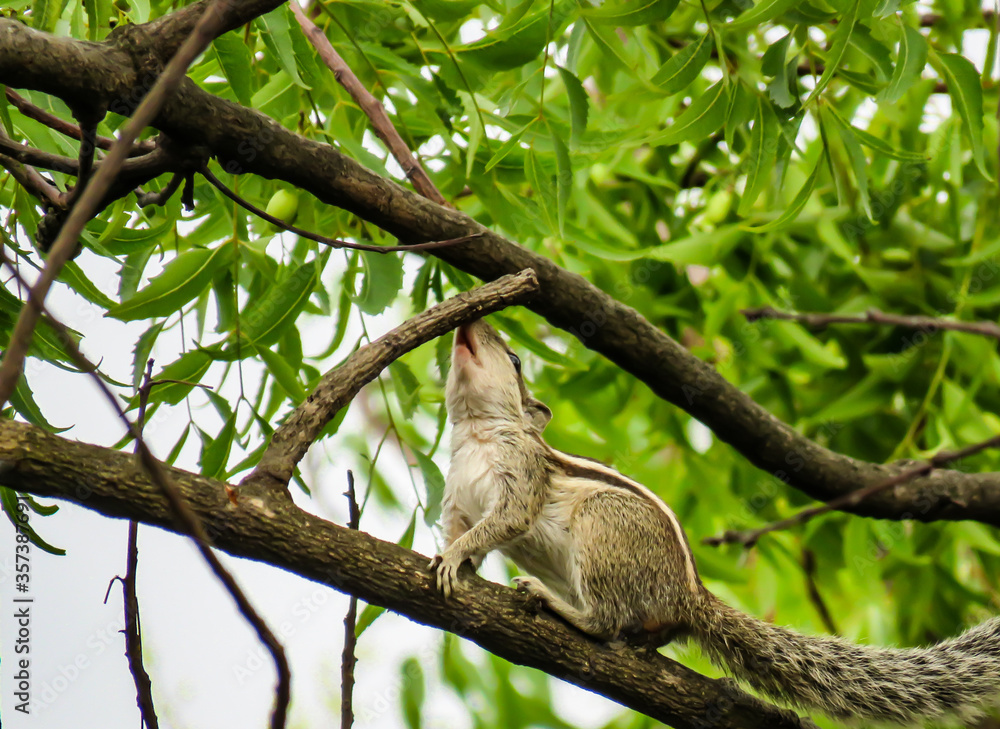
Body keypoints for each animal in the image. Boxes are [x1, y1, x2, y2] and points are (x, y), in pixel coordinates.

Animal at [430, 318, 1000, 725]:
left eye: (515, 359)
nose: (469, 321)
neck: (478, 432)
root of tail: (689, 597)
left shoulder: (522, 474)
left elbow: (505, 520)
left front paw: (455, 557)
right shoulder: (456, 495)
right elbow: (463, 528)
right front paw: (451, 555)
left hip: (603, 526)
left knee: (607, 622)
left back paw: (557, 605)